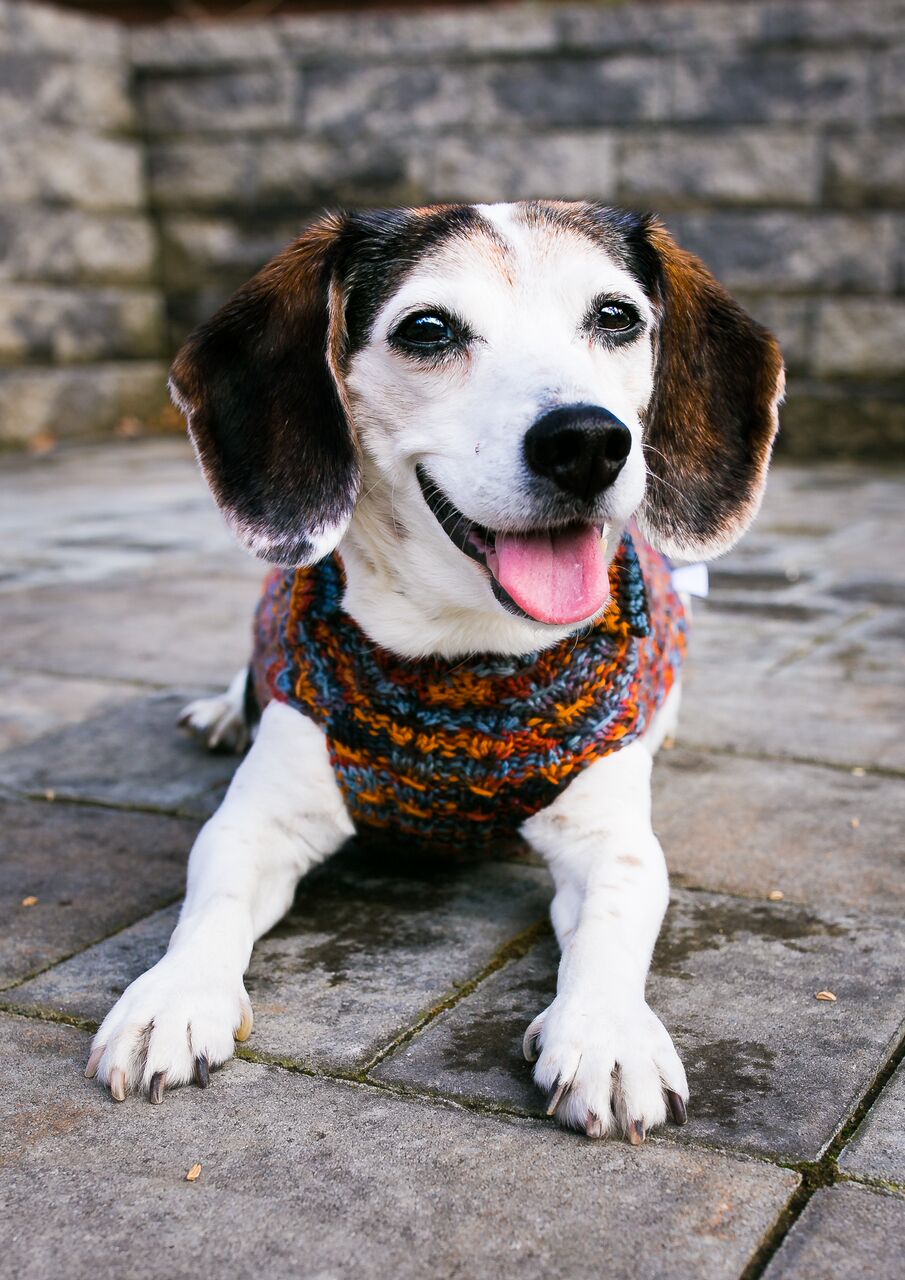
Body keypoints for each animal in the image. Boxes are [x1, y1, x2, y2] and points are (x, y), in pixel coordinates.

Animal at [81, 199, 783, 1141]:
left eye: (615, 316)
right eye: (426, 329)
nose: (586, 441)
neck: (461, 658)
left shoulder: (609, 837)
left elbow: (613, 917)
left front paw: (605, 1032)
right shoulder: (258, 818)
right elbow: (211, 902)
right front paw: (174, 996)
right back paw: (222, 711)